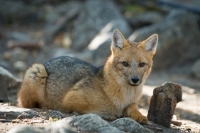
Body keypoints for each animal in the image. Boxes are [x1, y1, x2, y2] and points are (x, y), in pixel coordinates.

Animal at [17, 28, 158, 124]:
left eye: (141, 64)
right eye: (125, 63)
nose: (135, 80)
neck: (125, 96)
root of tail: (48, 61)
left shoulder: (132, 102)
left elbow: (133, 107)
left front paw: (139, 115)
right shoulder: (70, 99)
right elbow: (97, 110)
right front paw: (112, 114)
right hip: (36, 71)